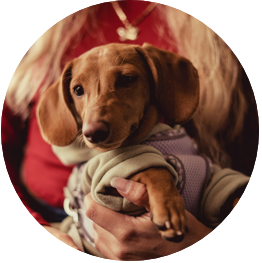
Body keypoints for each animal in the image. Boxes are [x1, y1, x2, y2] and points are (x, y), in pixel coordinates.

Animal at [36, 43, 199, 243]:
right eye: (78, 90)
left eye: (127, 79)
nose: (93, 132)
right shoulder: (106, 189)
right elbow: (151, 168)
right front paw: (169, 209)